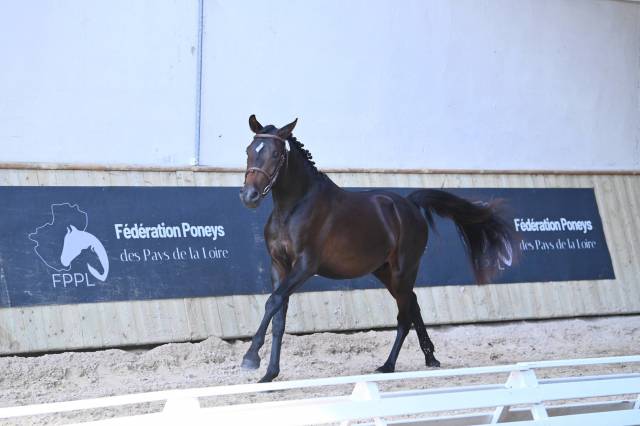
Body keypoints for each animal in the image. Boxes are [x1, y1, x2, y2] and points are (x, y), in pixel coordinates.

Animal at [239, 115, 517, 383]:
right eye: (249, 150)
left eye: (276, 153)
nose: (249, 196)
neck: (293, 208)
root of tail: (409, 204)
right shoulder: (279, 266)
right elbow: (279, 316)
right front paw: (269, 374)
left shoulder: (305, 266)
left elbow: (273, 302)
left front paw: (251, 358)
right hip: (384, 271)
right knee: (413, 304)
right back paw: (430, 358)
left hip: (403, 270)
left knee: (404, 316)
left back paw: (388, 365)